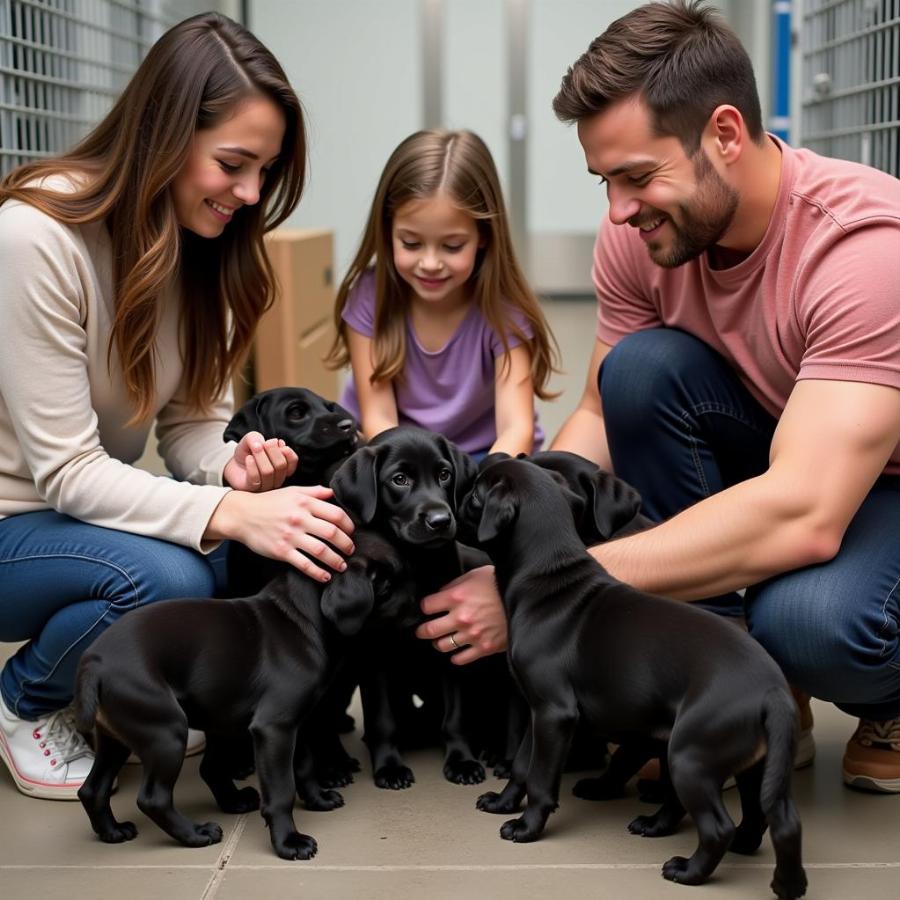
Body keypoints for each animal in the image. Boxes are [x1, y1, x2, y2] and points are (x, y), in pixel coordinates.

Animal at [74, 532, 418, 860]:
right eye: (388, 587)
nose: (421, 614)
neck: (301, 618)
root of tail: (95, 662)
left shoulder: (298, 725)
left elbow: (305, 768)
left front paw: (318, 799)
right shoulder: (273, 729)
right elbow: (281, 791)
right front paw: (289, 842)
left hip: (121, 736)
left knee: (93, 789)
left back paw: (113, 831)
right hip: (166, 732)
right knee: (153, 798)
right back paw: (196, 834)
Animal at [330, 428, 486, 788]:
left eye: (444, 474)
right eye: (399, 479)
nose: (441, 520)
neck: (413, 562)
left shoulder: (451, 642)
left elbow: (455, 716)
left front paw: (462, 760)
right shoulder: (375, 654)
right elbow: (383, 719)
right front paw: (389, 766)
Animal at [460, 460, 804, 896]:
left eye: (475, 495)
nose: (449, 503)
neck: (547, 572)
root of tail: (773, 691)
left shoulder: (554, 714)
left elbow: (540, 779)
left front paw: (526, 828)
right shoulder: (538, 712)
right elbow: (523, 766)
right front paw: (503, 804)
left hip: (689, 756)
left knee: (716, 826)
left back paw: (689, 871)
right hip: (743, 759)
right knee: (777, 818)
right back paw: (776, 876)